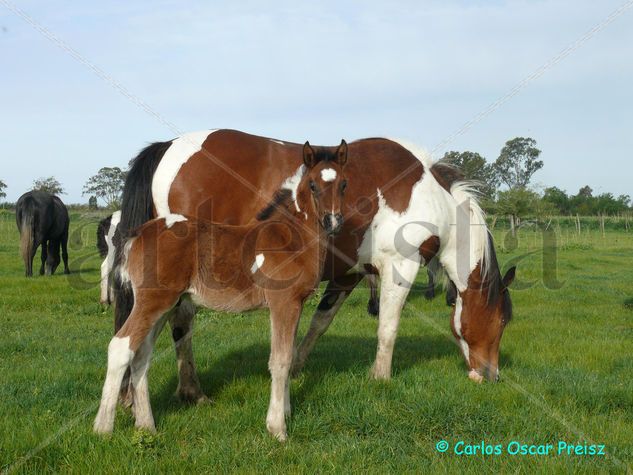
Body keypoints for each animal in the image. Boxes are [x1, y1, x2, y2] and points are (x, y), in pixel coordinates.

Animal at [94, 139, 348, 440]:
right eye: (312, 185)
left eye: (344, 184)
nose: (333, 222)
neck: (288, 237)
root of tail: (138, 234)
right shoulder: (283, 303)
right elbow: (281, 361)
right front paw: (277, 428)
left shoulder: (295, 304)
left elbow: (287, 355)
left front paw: (285, 412)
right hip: (152, 301)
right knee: (121, 347)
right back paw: (103, 427)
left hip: (164, 305)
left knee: (142, 354)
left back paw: (146, 425)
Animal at [113, 128, 516, 404]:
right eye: (501, 321)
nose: (492, 375)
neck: (431, 197)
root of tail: (170, 146)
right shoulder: (400, 266)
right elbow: (388, 328)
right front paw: (381, 376)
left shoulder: (348, 275)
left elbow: (319, 324)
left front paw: (294, 367)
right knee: (181, 323)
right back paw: (191, 390)